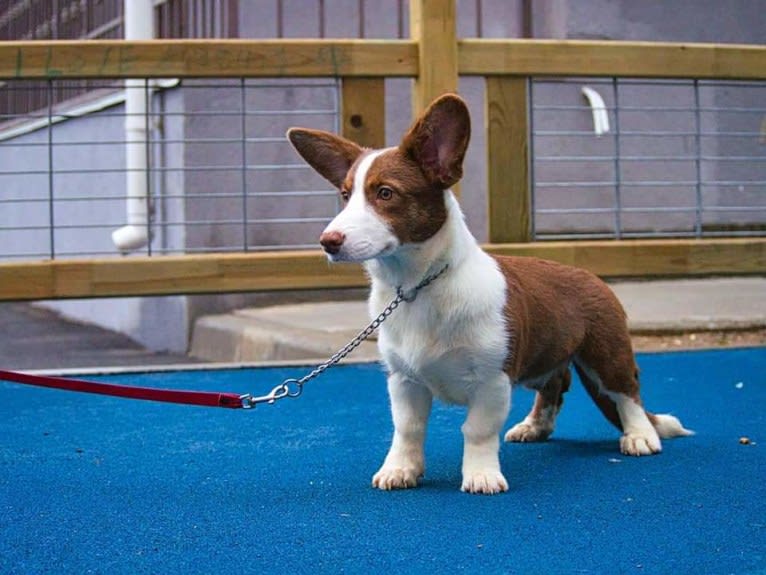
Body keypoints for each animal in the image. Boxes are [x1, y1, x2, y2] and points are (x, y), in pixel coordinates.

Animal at [288, 94, 696, 496]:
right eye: (345, 196)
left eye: (385, 193)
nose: (327, 242)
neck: (417, 286)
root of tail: (592, 277)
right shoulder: (404, 381)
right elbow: (408, 429)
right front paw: (400, 470)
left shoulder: (492, 381)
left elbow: (477, 430)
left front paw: (481, 476)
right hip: (540, 362)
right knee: (556, 384)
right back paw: (535, 426)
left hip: (606, 354)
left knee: (627, 393)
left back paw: (640, 435)